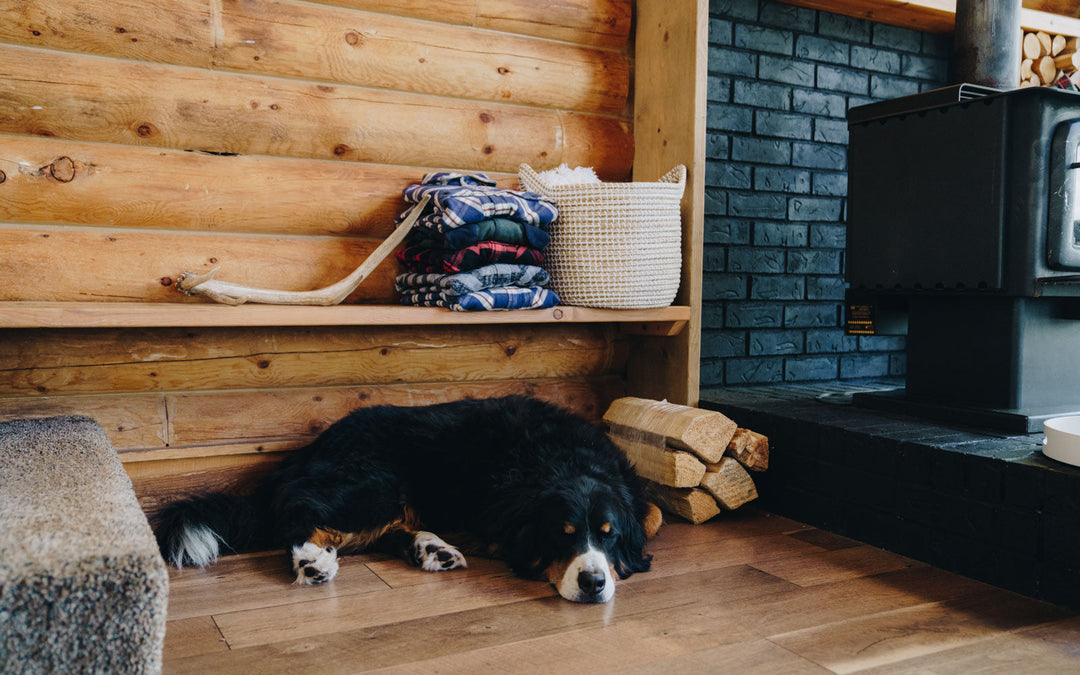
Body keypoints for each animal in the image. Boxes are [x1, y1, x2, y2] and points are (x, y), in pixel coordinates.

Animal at [151, 393, 656, 604]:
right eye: (561, 534)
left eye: (608, 536)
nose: (593, 583)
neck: (563, 459)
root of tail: (307, 452)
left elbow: (649, 514)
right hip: (376, 484)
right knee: (300, 517)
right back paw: (313, 562)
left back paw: (431, 549)